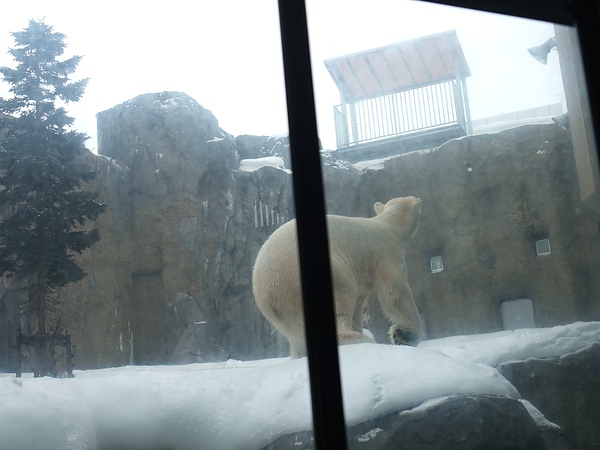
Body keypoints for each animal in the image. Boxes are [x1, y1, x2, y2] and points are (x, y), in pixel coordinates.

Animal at [251, 195, 424, 356]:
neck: (389, 223)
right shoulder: (386, 251)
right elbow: (395, 293)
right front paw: (405, 334)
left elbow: (358, 303)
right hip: (319, 274)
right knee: (340, 300)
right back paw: (362, 338)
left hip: (284, 313)